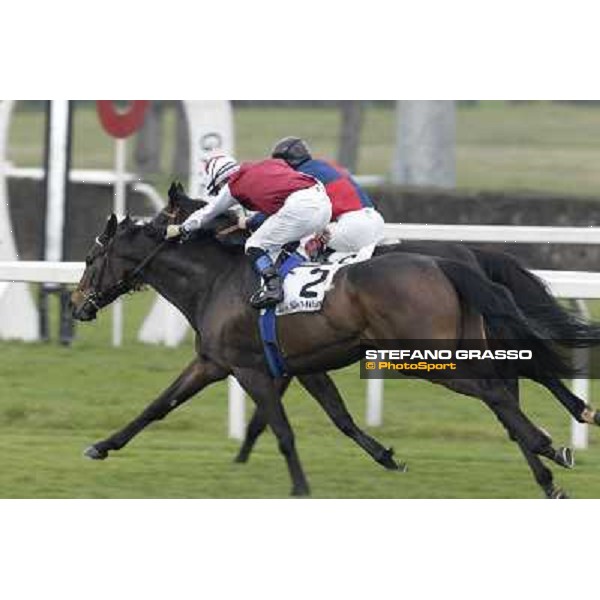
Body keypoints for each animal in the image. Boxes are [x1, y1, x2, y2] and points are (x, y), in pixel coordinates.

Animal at [70, 202, 576, 496]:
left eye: (92, 258)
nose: (76, 305)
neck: (216, 281)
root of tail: (448, 262)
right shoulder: (236, 363)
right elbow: (158, 406)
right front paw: (102, 445)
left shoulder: (251, 369)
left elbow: (282, 430)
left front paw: (299, 486)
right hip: (462, 342)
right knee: (506, 391)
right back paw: (548, 471)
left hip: (425, 355)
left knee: (496, 391)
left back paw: (550, 447)